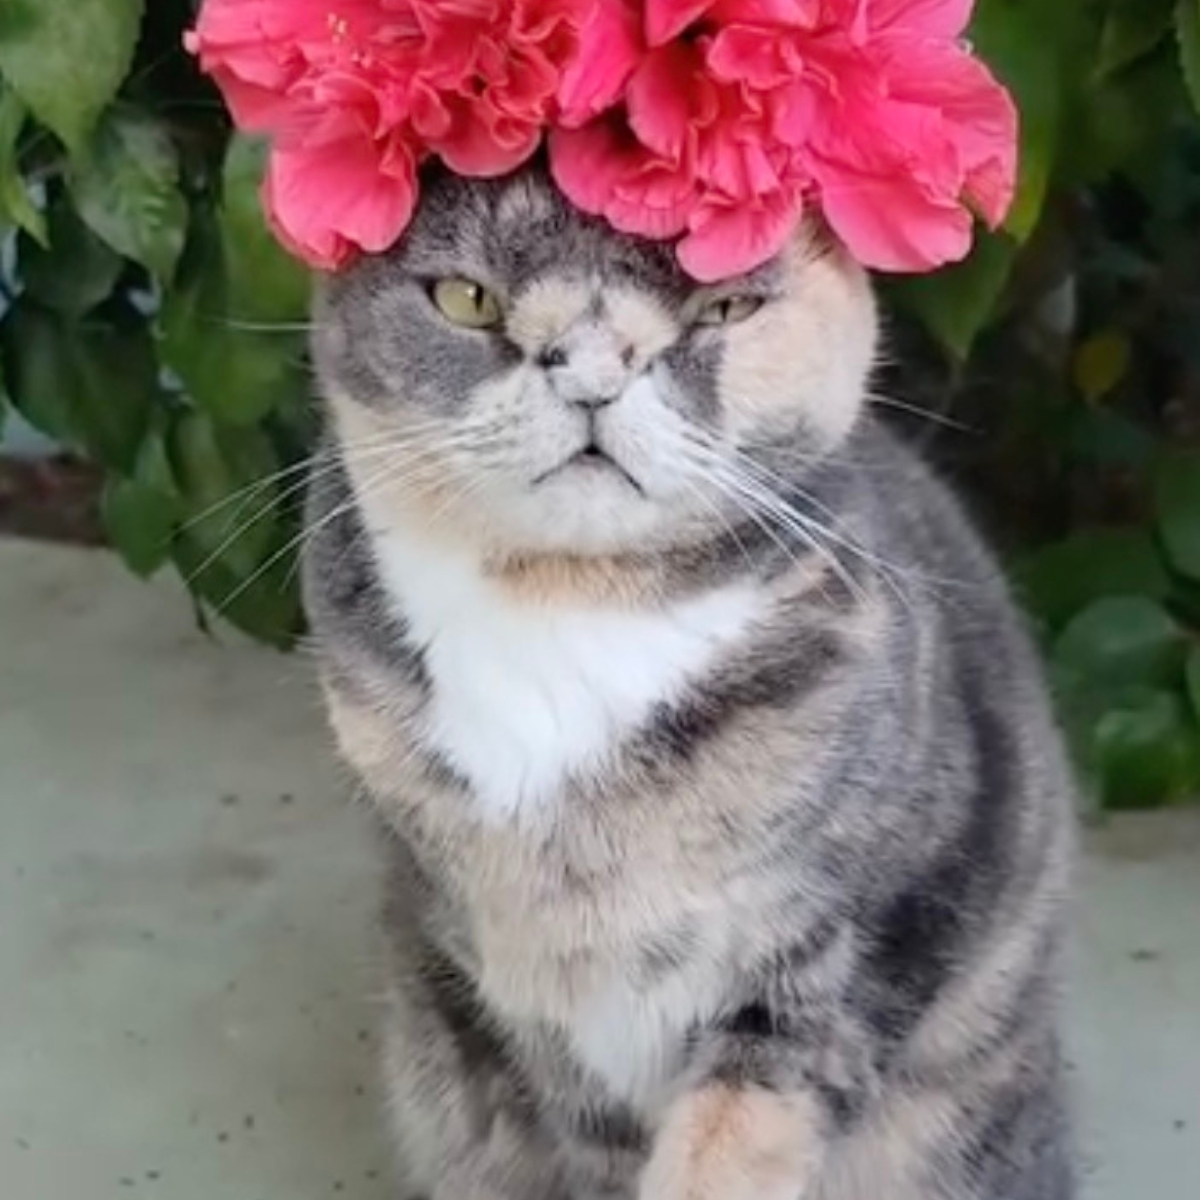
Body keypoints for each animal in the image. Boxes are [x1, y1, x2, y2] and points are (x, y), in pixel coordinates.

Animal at [302, 162, 1080, 1200]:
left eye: (724, 305)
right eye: (467, 299)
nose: (591, 374)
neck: (570, 611)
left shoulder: (858, 945)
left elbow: (736, 1139)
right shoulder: (519, 982)